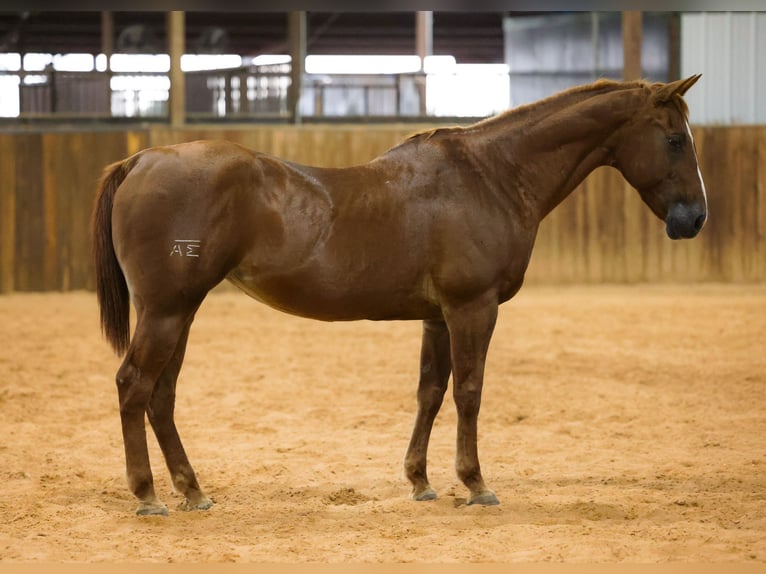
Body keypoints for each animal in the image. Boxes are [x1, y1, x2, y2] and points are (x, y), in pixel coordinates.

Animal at [92, 75, 707, 516]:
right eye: (675, 139)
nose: (695, 219)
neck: (491, 176)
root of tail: (141, 159)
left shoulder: (437, 318)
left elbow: (429, 393)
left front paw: (421, 481)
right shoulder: (472, 309)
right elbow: (469, 393)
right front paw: (476, 484)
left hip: (178, 313)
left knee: (162, 395)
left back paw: (192, 491)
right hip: (168, 312)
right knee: (133, 386)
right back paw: (147, 496)